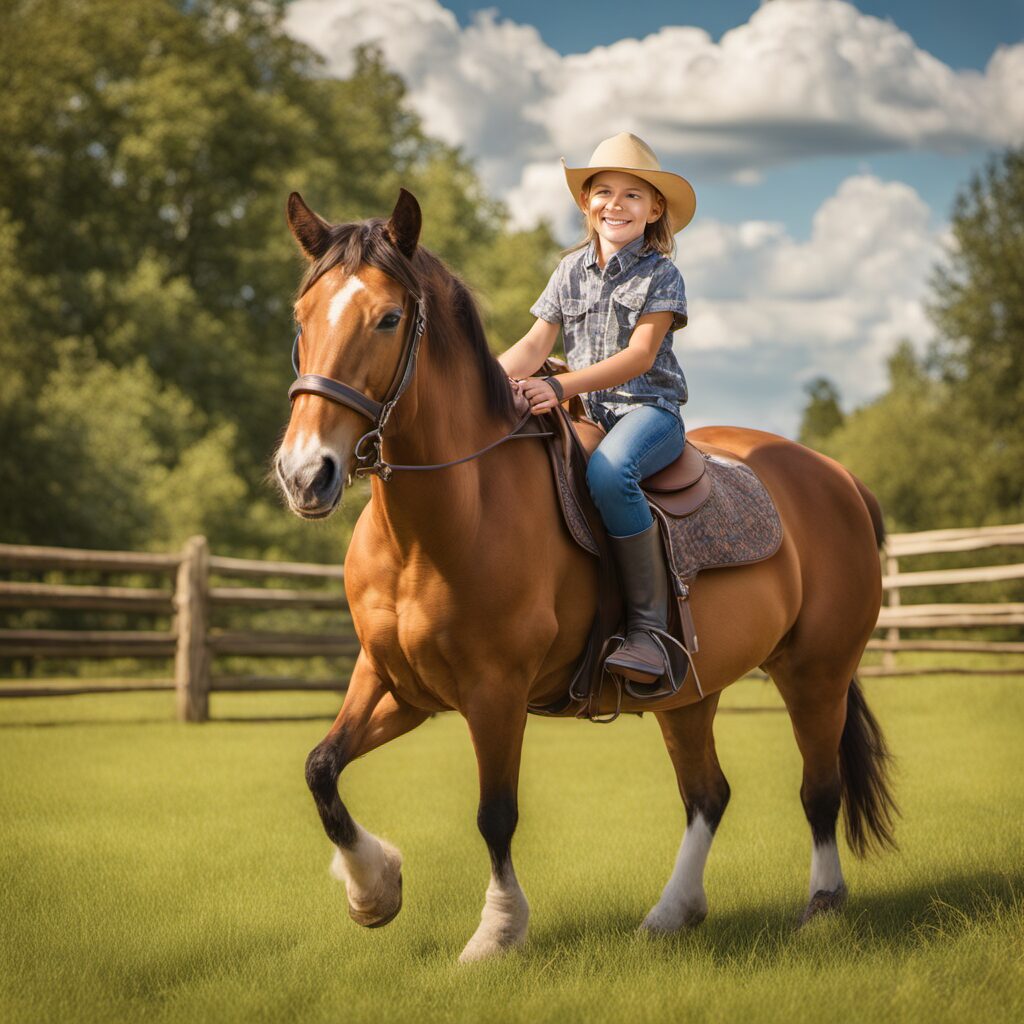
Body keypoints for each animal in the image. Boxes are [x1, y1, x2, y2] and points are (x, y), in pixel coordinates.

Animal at [274, 188, 898, 963]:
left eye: (388, 318)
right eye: (302, 317)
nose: (305, 474)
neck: (444, 523)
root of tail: (838, 478)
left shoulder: (496, 692)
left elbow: (495, 814)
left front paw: (497, 931)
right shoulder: (395, 682)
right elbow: (321, 768)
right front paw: (374, 890)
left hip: (815, 673)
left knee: (820, 790)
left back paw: (821, 906)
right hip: (690, 691)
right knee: (708, 794)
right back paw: (672, 914)